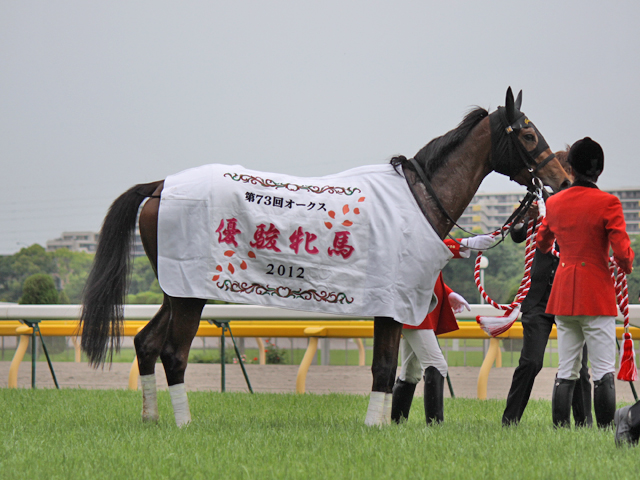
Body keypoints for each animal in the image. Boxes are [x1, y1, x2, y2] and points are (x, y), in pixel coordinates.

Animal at [80, 87, 571, 427]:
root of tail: (160, 185)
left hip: (175, 288)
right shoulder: (392, 302)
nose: (562, 178)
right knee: (174, 352)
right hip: (190, 294)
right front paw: (375, 427)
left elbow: (390, 369)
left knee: (146, 343)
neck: (417, 199)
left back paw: (152, 417)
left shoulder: (399, 305)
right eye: (529, 134)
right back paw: (184, 424)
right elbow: (383, 367)